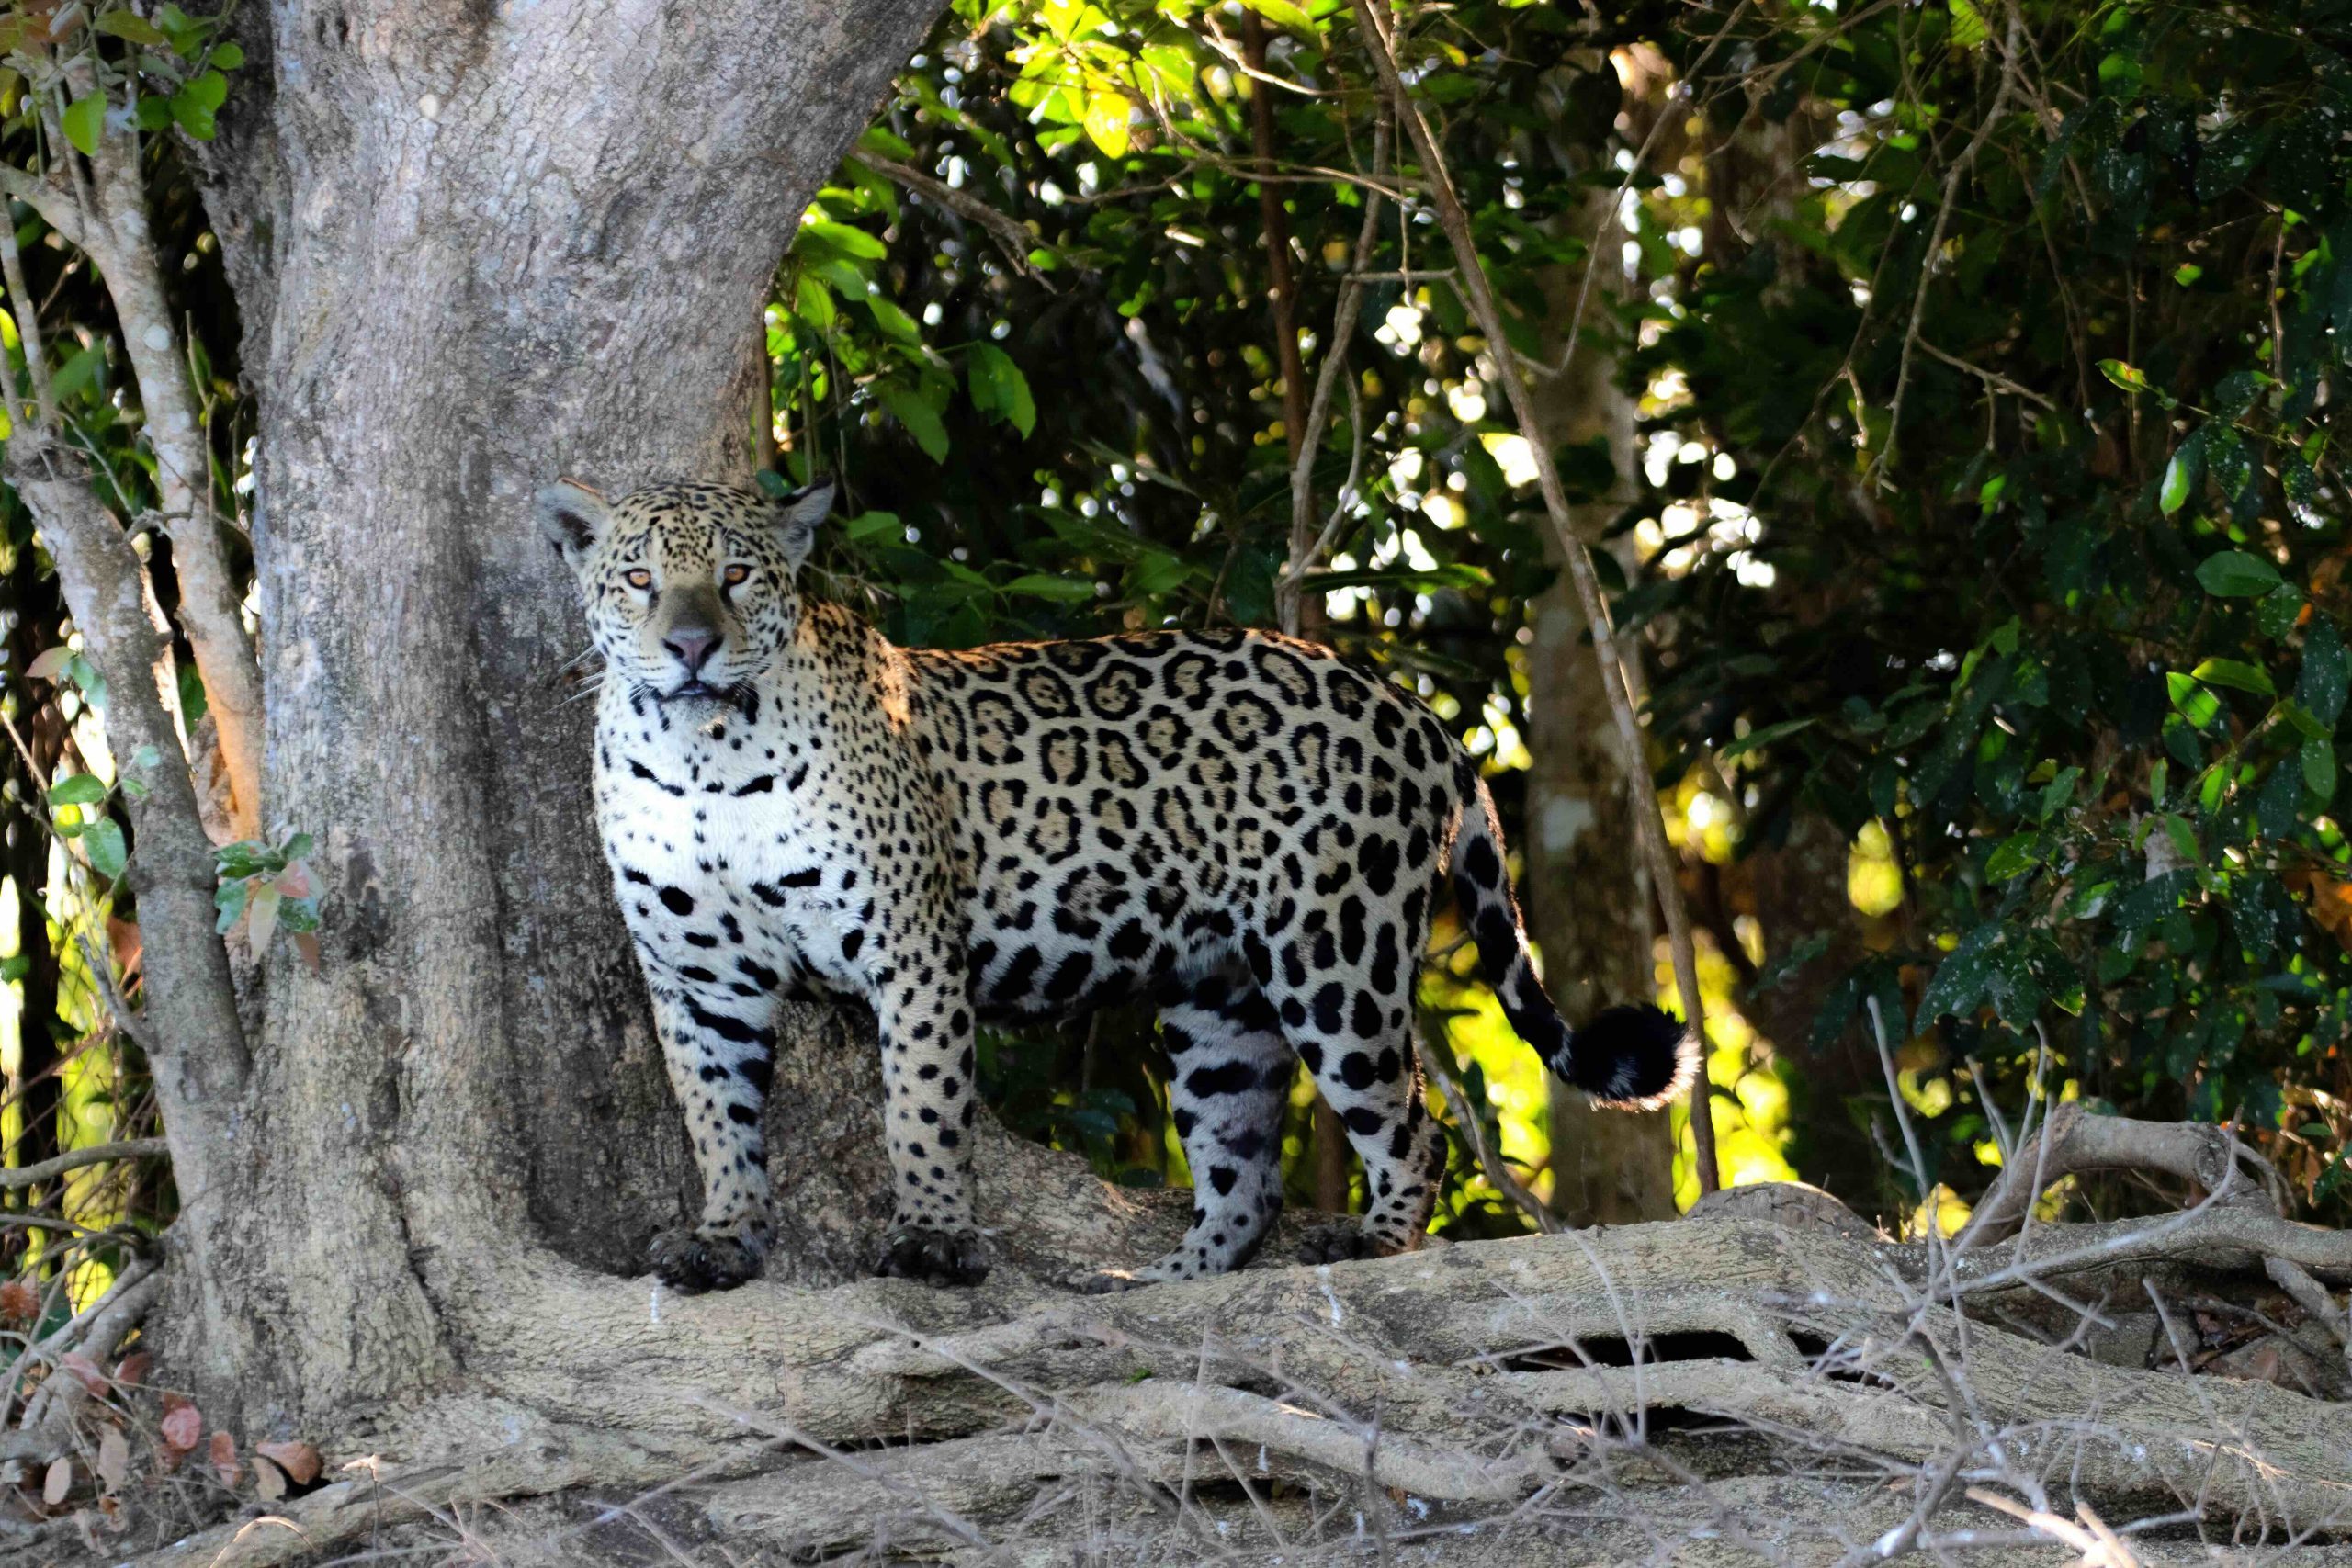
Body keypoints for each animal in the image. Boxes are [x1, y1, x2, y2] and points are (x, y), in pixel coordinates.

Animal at [537, 475, 1694, 1293]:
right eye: (639, 581)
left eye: (737, 578)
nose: (691, 647)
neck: (699, 757)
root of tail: (1411, 707)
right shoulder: (695, 978)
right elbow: (714, 1116)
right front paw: (724, 1238)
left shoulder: (911, 948)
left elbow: (922, 1104)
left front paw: (934, 1240)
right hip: (1221, 1001)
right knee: (1242, 1174)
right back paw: (1156, 1281)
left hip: (1335, 952)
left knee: (1409, 1124)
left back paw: (1372, 1243)